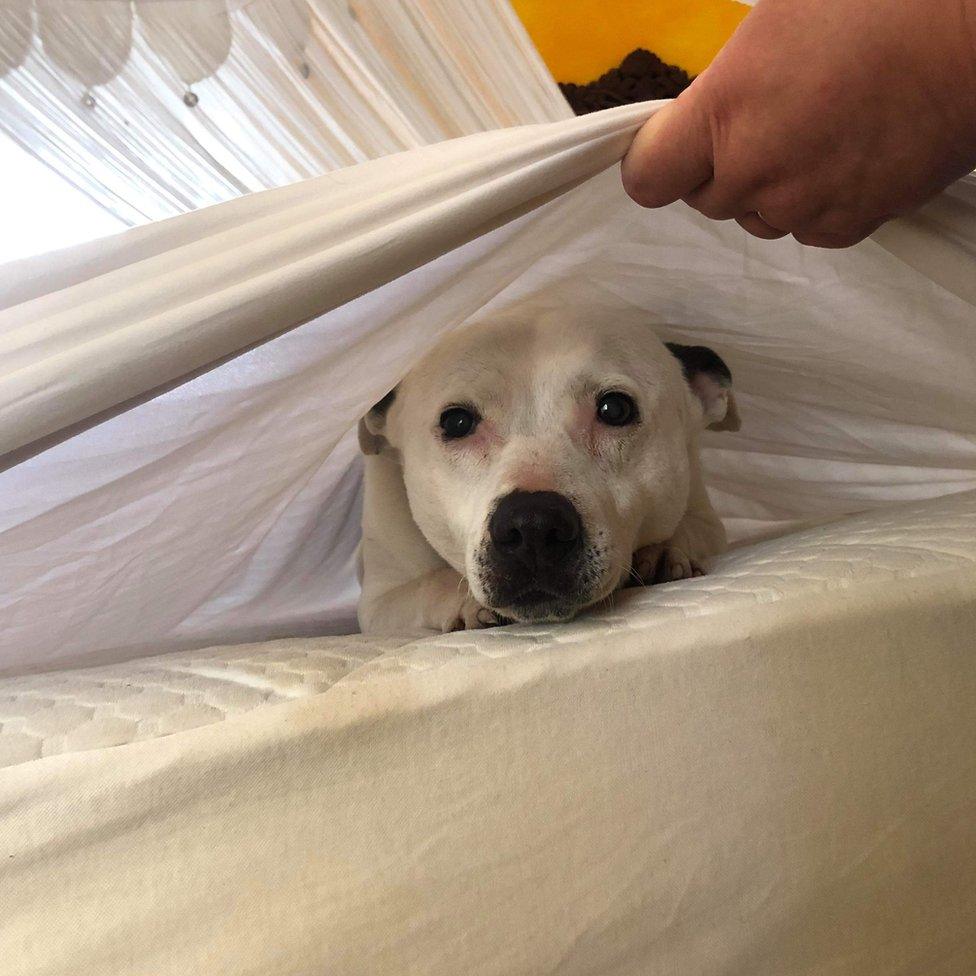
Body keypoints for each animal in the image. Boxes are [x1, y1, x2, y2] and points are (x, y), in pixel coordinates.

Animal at [358, 308, 740, 636]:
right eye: (457, 422)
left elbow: (690, 527)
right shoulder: (378, 602)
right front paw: (463, 600)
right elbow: (429, 582)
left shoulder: (706, 517)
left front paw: (663, 550)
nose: (533, 526)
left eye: (615, 408)